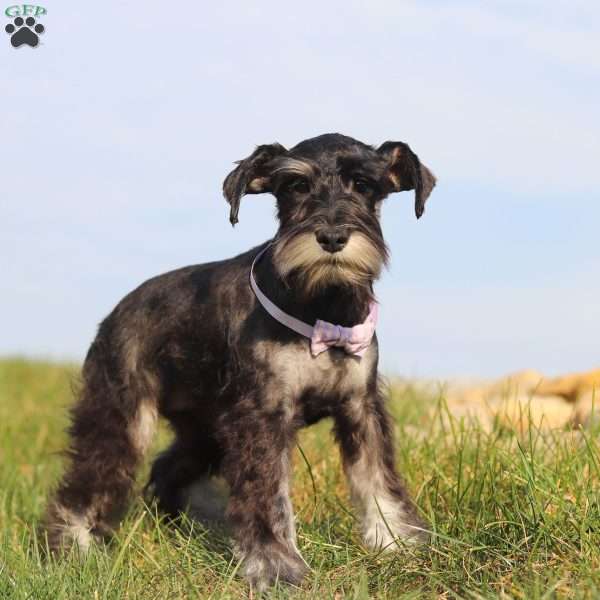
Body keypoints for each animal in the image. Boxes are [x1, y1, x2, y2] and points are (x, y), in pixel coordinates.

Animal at [42, 132, 436, 592]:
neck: (323, 304)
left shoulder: (361, 405)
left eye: (363, 184)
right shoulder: (262, 416)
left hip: (205, 429)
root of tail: (115, 313)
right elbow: (268, 494)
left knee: (168, 468)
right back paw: (71, 548)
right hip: (123, 417)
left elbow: (377, 478)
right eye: (295, 186)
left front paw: (398, 544)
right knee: (86, 482)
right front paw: (276, 567)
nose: (332, 236)